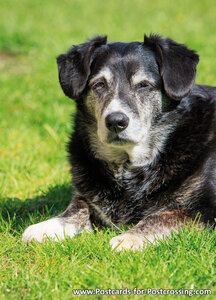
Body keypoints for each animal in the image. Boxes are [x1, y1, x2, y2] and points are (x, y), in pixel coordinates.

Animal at [22, 34, 216, 251]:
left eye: (144, 85)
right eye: (99, 84)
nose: (115, 121)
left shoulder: (205, 211)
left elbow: (163, 216)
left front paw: (127, 239)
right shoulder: (88, 200)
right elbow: (78, 206)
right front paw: (47, 226)